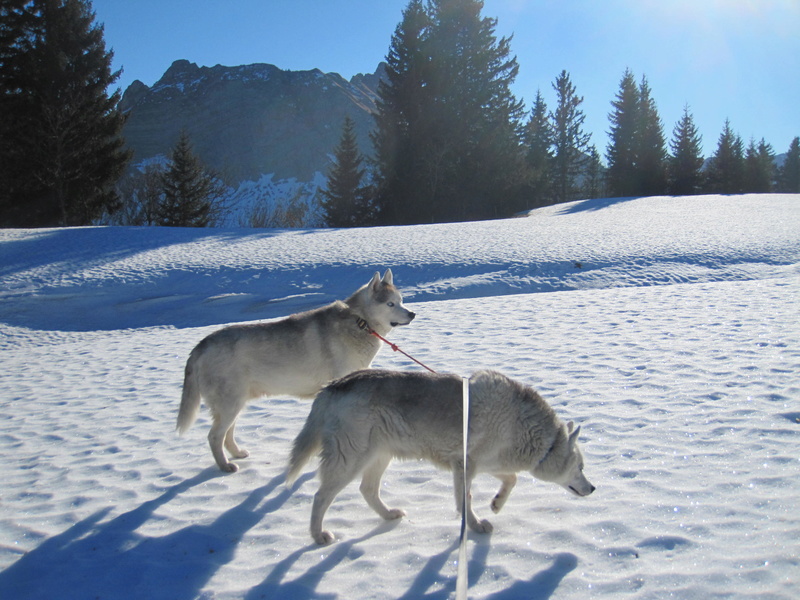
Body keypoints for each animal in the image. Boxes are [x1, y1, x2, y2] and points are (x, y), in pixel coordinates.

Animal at [178, 270, 416, 474]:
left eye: (401, 300)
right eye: (390, 303)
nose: (412, 314)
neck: (360, 321)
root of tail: (201, 345)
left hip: (235, 404)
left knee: (226, 434)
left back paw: (236, 454)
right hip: (230, 404)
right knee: (214, 436)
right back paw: (225, 466)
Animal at [288, 368, 592, 548]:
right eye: (580, 467)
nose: (593, 488)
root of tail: (332, 385)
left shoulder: (488, 464)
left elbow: (512, 479)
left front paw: (496, 504)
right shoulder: (465, 466)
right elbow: (465, 501)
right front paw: (475, 526)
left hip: (379, 457)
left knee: (367, 490)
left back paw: (388, 515)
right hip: (350, 461)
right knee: (321, 496)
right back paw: (318, 536)